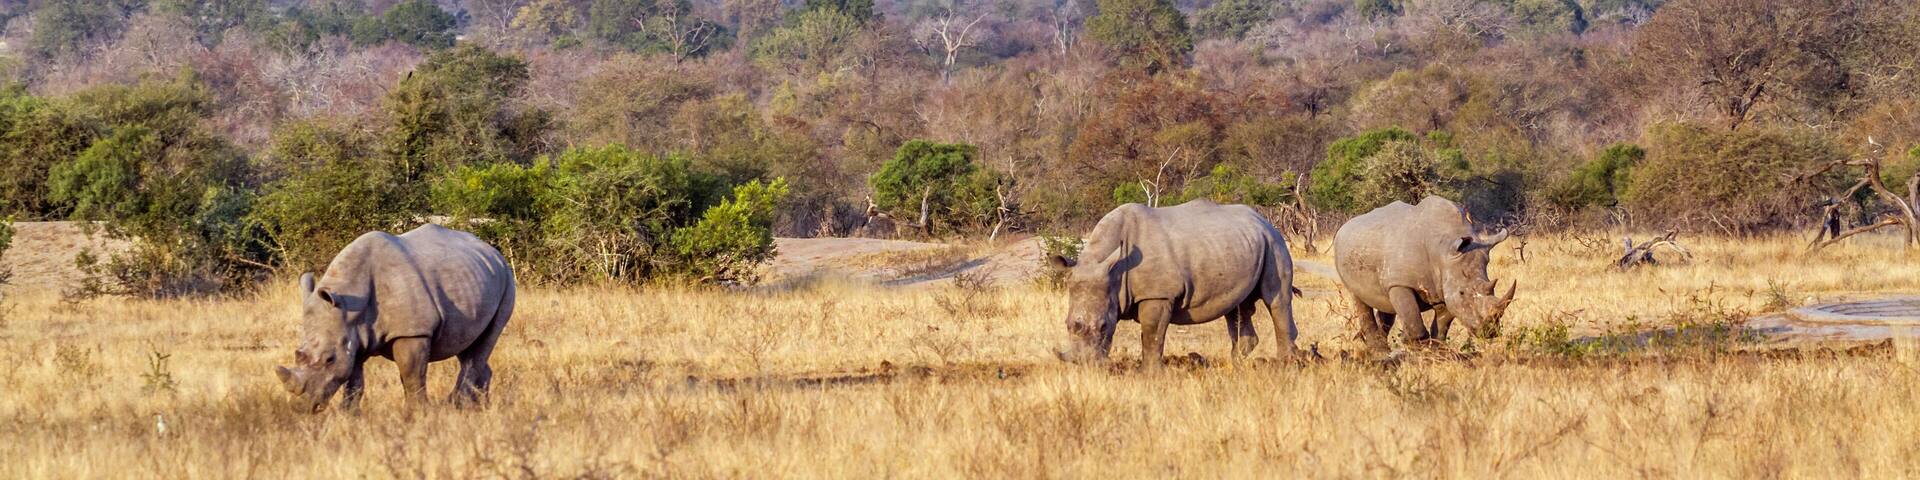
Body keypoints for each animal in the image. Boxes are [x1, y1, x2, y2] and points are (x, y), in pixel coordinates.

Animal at [275, 224, 516, 413]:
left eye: (329, 359)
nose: (301, 408)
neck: (350, 301)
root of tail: (493, 251)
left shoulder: (413, 332)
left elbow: (411, 374)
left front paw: (417, 414)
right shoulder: (354, 336)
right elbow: (354, 380)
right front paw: (349, 415)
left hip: (507, 279)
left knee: (485, 342)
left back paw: (456, 405)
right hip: (477, 278)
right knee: (468, 345)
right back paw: (480, 407)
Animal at [1049, 200, 1302, 369]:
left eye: (1104, 326)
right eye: (1067, 325)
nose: (1084, 365)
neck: (1114, 271)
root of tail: (1264, 220)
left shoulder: (1158, 295)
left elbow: (1152, 335)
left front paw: (1149, 374)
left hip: (1274, 243)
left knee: (1276, 299)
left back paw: (1285, 366)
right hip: (1244, 245)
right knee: (1237, 308)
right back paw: (1235, 365)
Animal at [1332, 196, 1515, 352]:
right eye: (1462, 292)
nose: (1489, 332)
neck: (1442, 249)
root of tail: (1343, 227)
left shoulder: (1444, 285)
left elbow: (1441, 327)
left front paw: (1437, 353)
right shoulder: (1401, 283)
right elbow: (1415, 325)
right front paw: (1415, 348)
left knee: (1385, 304)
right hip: (1343, 253)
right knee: (1359, 299)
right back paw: (1379, 352)